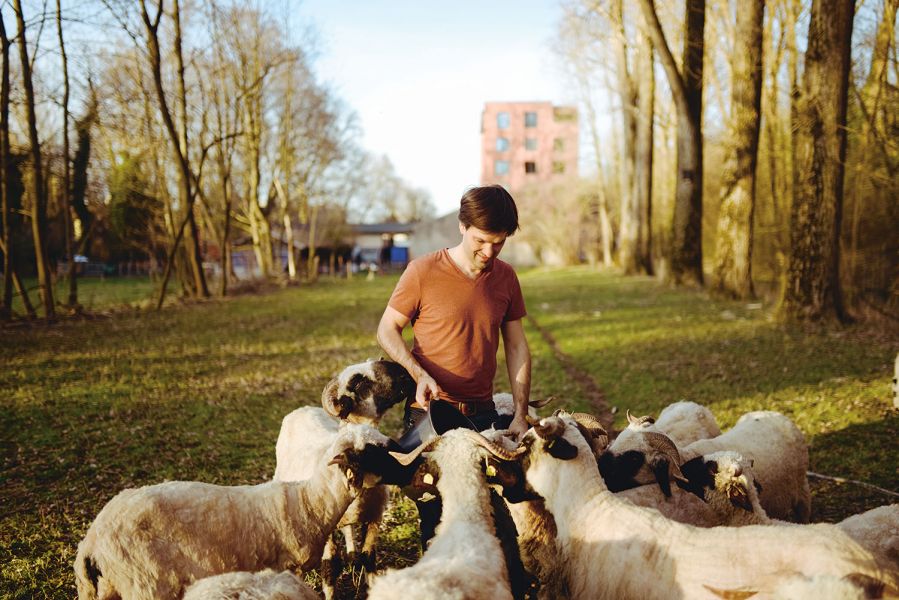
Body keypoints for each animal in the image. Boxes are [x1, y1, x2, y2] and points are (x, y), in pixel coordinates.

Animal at [75, 422, 400, 600]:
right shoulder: (284, 568)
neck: (308, 502)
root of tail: (91, 541)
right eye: (372, 450)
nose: (401, 451)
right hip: (147, 584)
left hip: (108, 588)